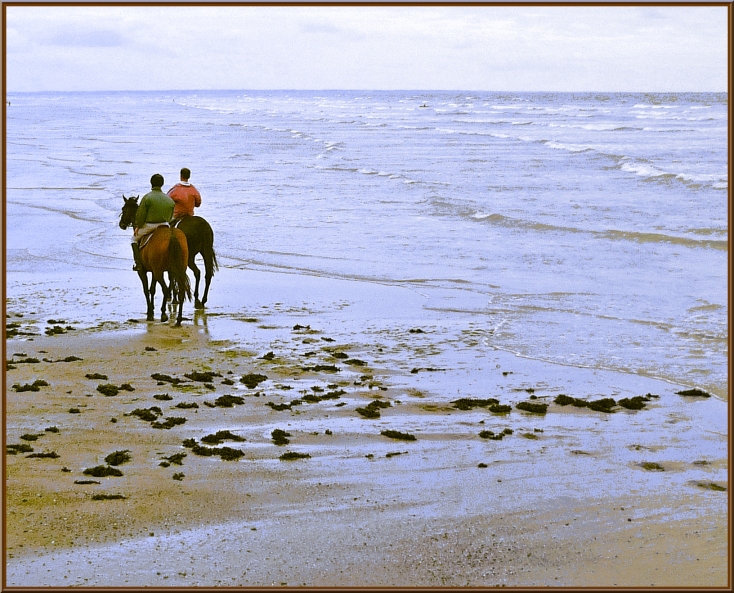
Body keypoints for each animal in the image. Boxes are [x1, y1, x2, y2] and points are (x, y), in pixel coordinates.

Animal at [119, 195, 193, 324]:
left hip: (160, 272)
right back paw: (178, 319)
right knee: (180, 290)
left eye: (123, 209)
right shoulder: (154, 270)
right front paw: (152, 310)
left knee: (165, 289)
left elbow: (146, 289)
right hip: (178, 270)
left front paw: (150, 313)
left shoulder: (143, 271)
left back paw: (164, 314)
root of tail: (172, 234)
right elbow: (152, 289)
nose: (121, 224)